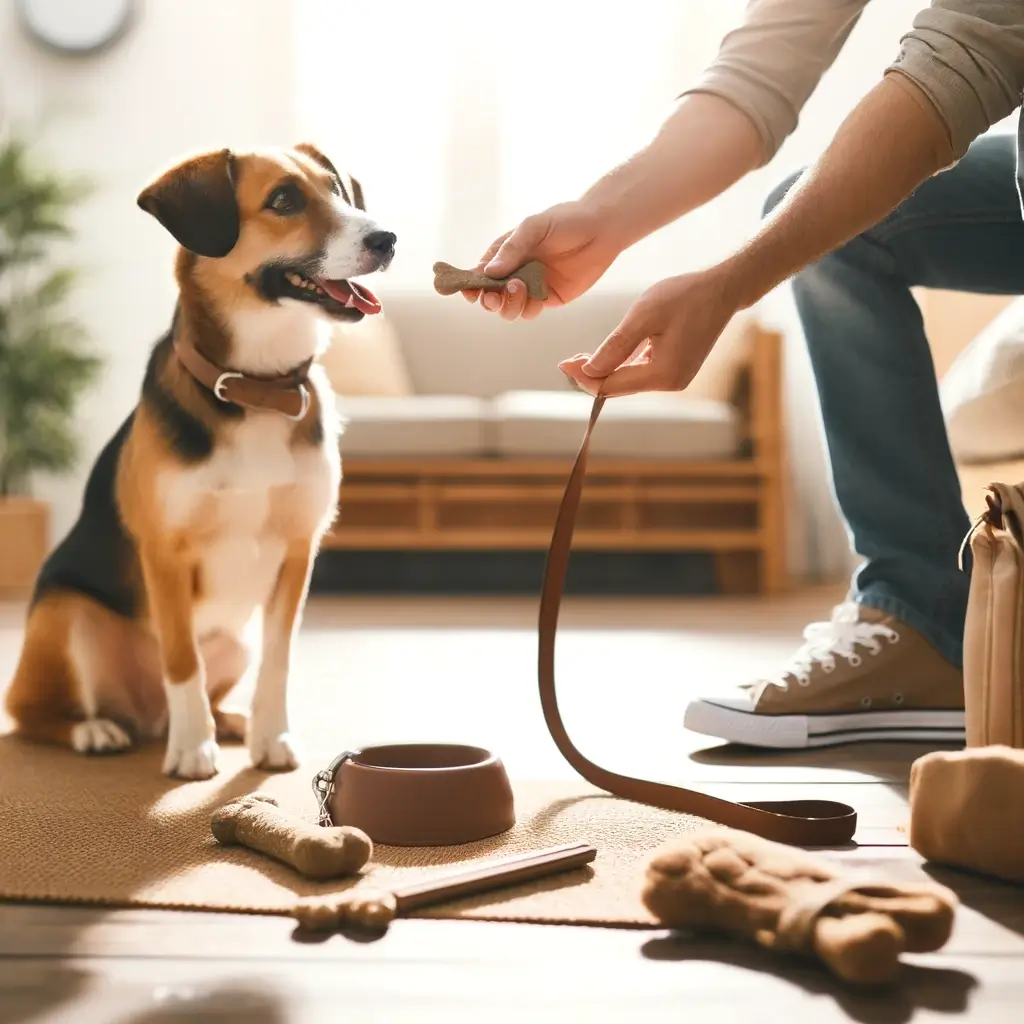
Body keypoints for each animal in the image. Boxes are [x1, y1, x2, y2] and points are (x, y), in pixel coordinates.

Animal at [3, 144, 395, 778]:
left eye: (336, 189)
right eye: (284, 199)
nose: (387, 239)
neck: (255, 388)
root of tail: (141, 718)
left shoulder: (297, 551)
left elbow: (280, 660)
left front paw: (269, 736)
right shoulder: (166, 553)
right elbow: (182, 661)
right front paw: (192, 751)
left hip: (235, 641)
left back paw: (229, 723)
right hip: (66, 615)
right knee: (30, 714)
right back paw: (97, 730)